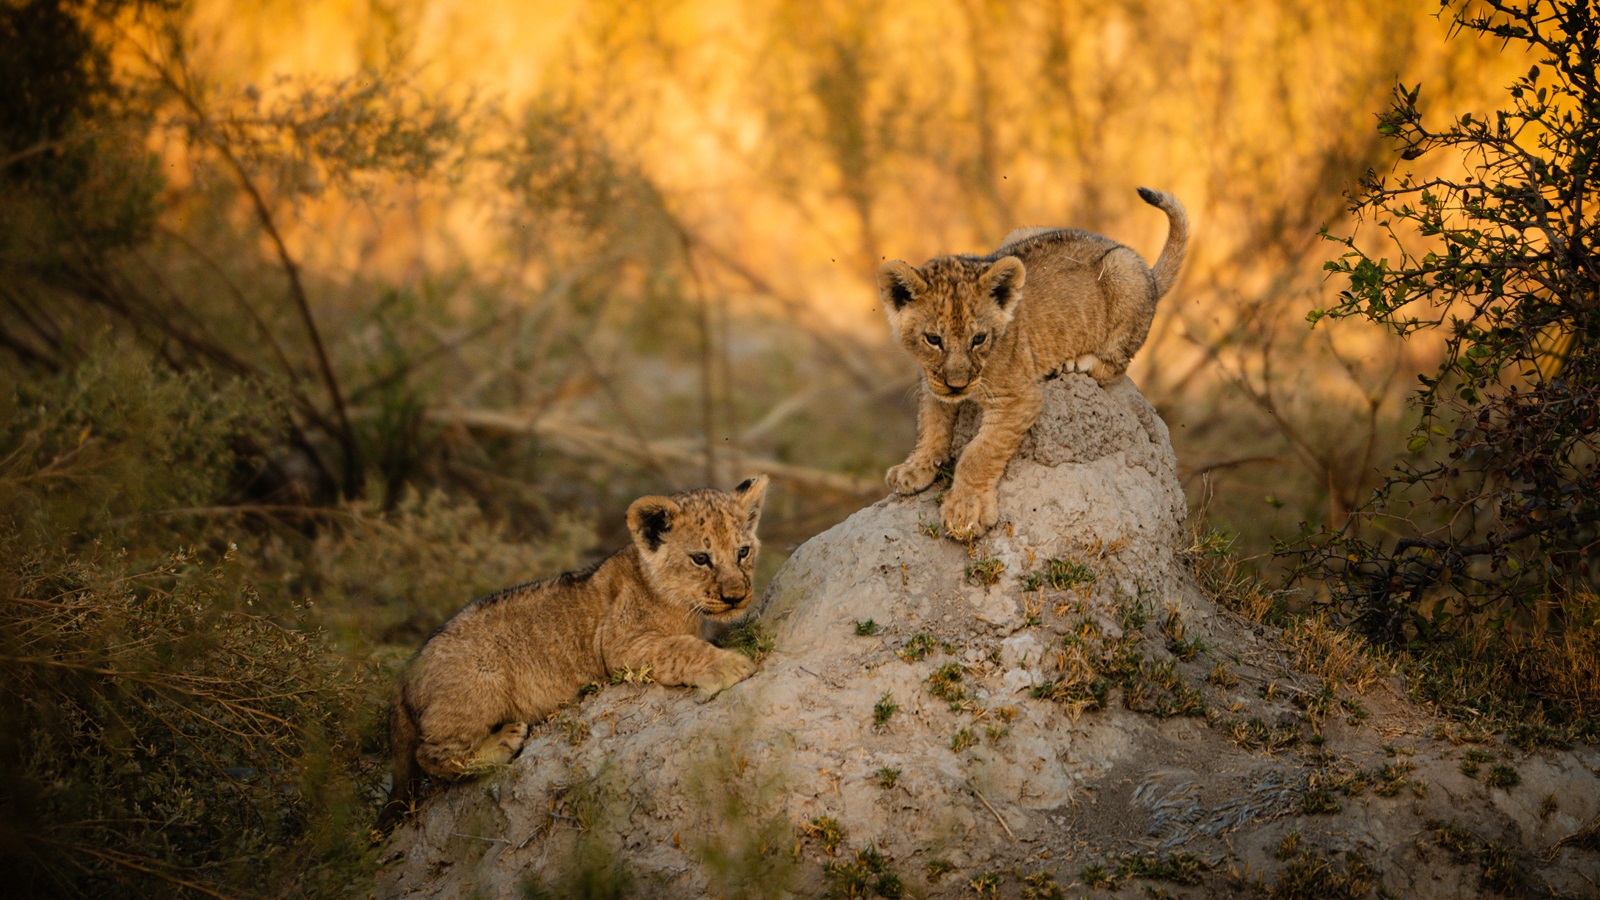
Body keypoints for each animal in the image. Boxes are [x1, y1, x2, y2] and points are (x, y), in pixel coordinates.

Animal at [379, 476, 769, 828]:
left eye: (743, 552)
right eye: (701, 558)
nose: (736, 596)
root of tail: (405, 671)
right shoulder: (621, 644)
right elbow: (681, 647)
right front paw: (731, 665)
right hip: (478, 685)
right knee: (430, 755)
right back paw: (503, 742)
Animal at [878, 186, 1189, 540]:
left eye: (979, 338)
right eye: (933, 339)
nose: (957, 385)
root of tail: (1150, 275)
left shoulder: (1020, 397)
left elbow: (978, 453)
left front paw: (965, 512)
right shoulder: (933, 384)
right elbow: (929, 426)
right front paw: (914, 469)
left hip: (1122, 270)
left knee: (1117, 364)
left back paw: (1076, 364)